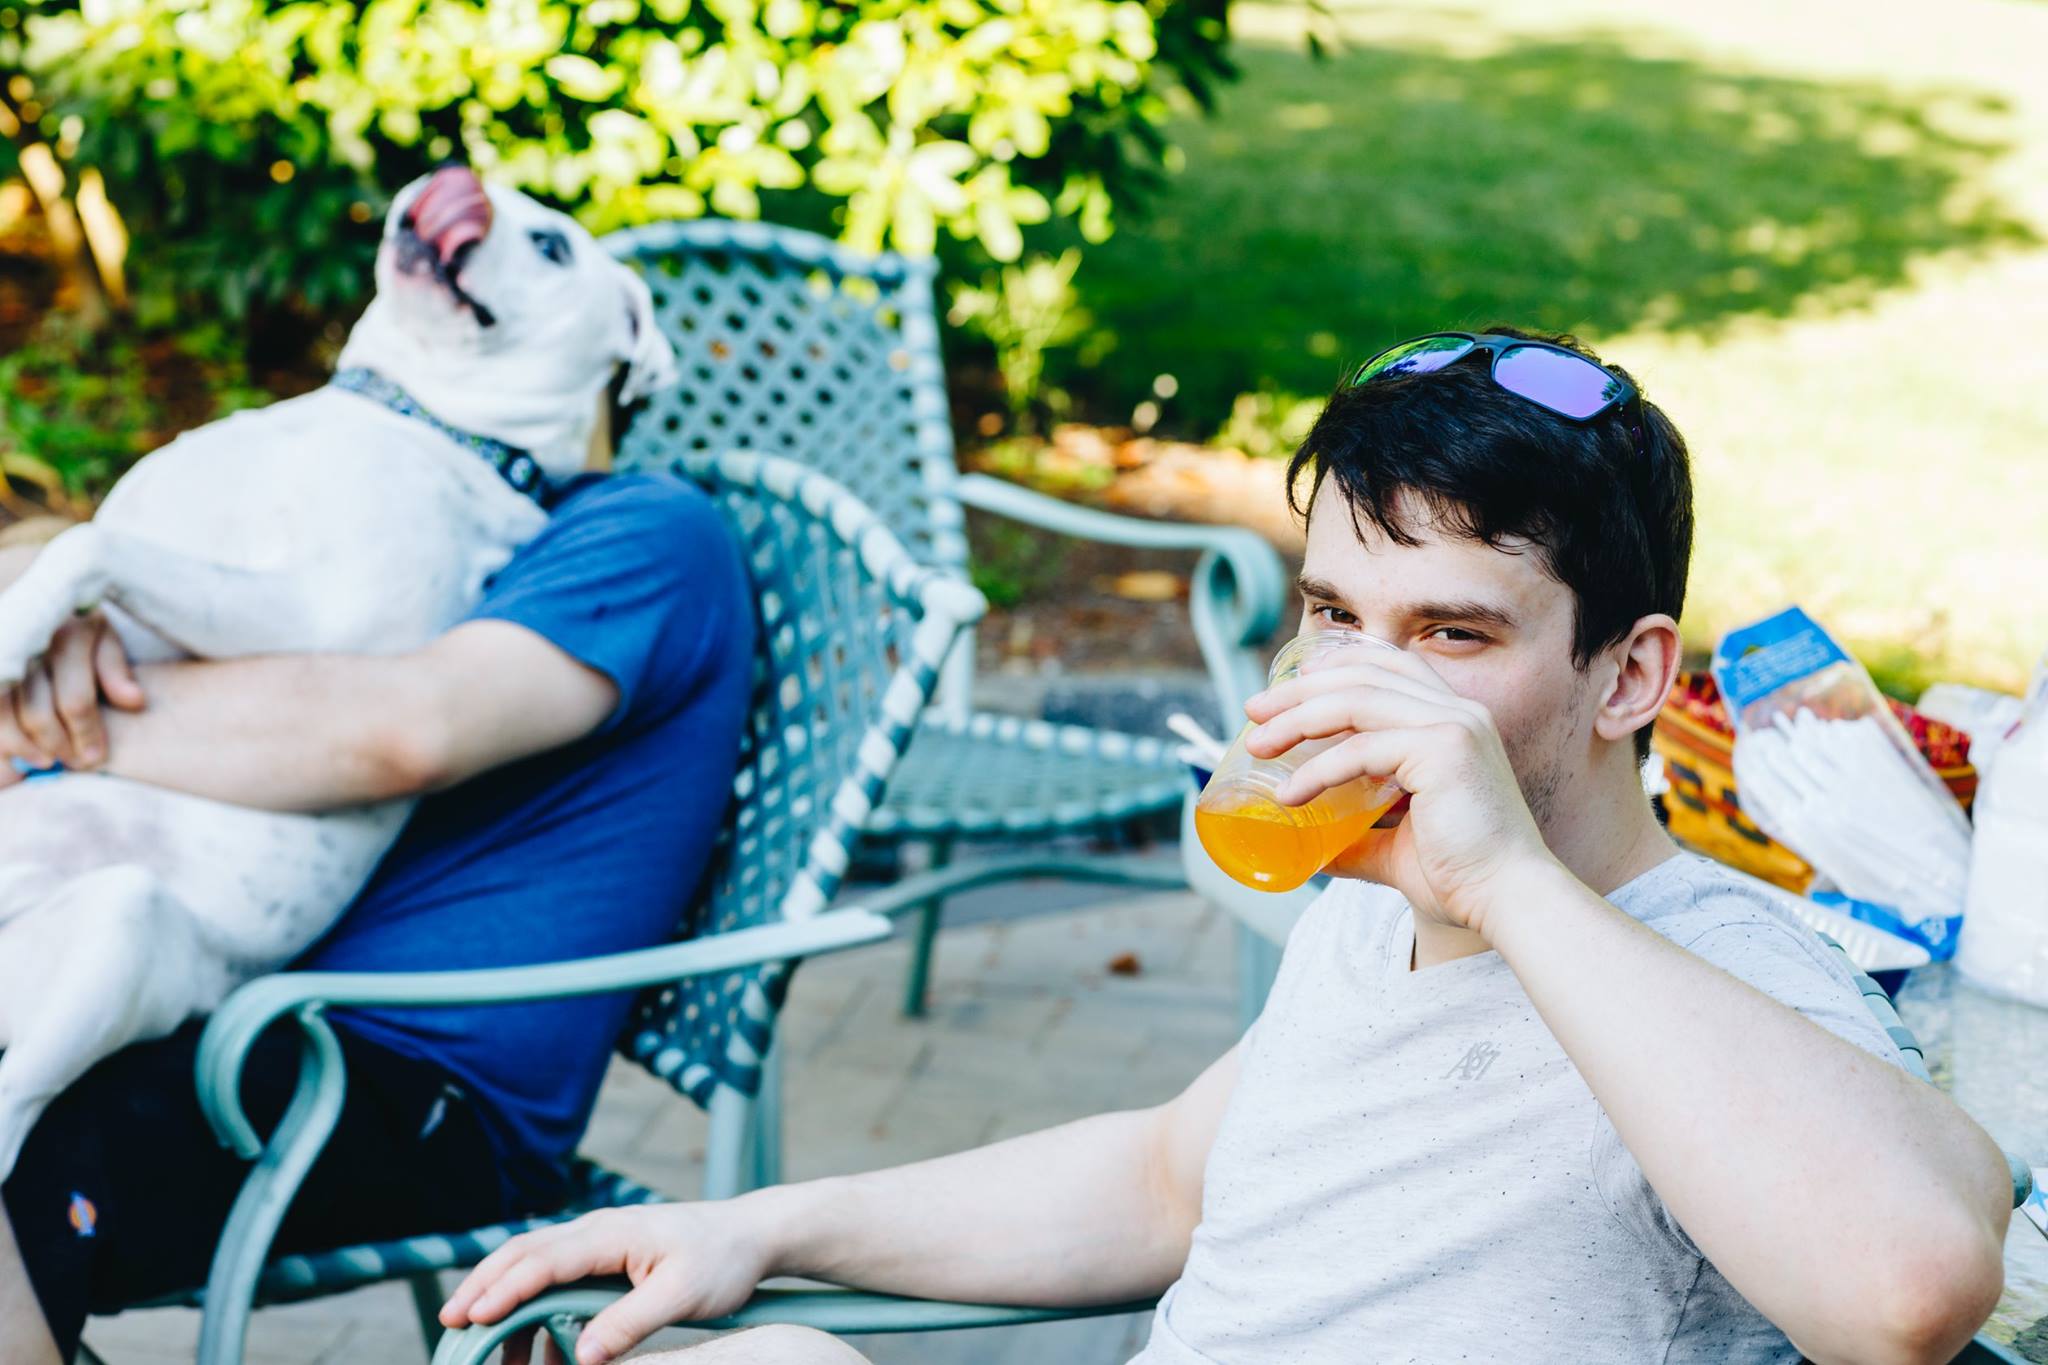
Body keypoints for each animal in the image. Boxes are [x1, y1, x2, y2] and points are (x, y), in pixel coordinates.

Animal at [0, 167, 679, 1178]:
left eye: (553, 246)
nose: (457, 180)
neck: (407, 409)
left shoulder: (325, 616)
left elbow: (89, 543)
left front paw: (12, 636)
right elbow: (71, 543)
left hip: (117, 931)